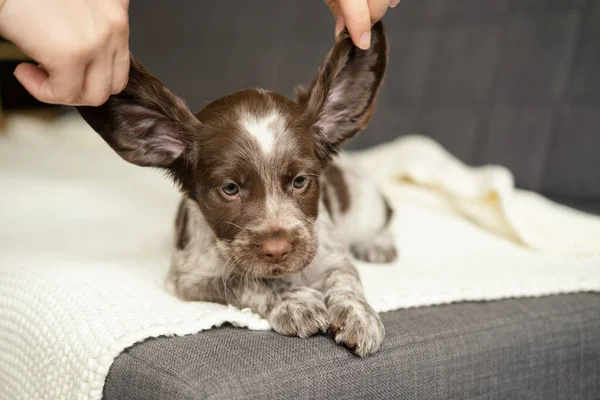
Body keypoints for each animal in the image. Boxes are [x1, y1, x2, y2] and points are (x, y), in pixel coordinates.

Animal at [78, 21, 398, 356]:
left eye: (300, 181)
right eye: (230, 189)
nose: (277, 249)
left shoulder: (332, 254)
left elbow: (346, 278)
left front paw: (358, 314)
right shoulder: (190, 278)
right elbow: (246, 282)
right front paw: (294, 300)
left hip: (365, 205)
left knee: (386, 212)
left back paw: (377, 244)